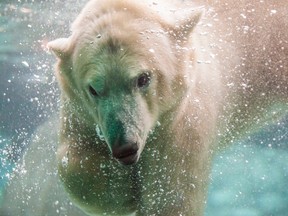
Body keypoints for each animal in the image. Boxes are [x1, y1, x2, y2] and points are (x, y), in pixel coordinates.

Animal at [46, 0, 286, 216]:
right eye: (93, 89)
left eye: (143, 78)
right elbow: (73, 160)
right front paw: (122, 189)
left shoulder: (183, 123)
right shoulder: (80, 113)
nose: (126, 147)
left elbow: (171, 196)